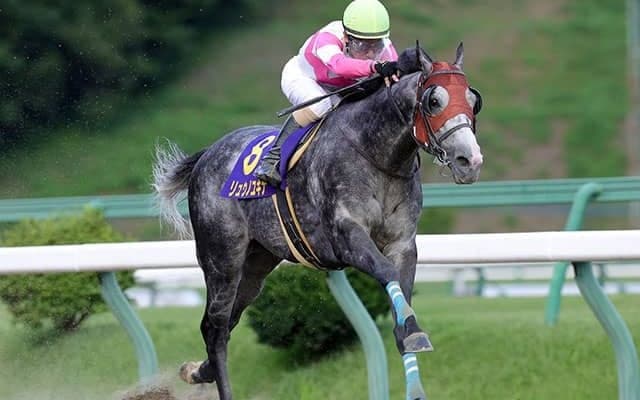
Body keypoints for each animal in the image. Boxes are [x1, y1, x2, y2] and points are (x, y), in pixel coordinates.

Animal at [153, 43, 483, 400]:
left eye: (474, 100)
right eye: (434, 100)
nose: (470, 161)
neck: (376, 154)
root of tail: (207, 154)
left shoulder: (403, 242)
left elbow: (401, 291)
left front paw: (410, 336)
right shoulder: (346, 236)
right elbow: (386, 271)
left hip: (256, 264)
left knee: (226, 323)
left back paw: (196, 370)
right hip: (221, 259)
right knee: (214, 328)